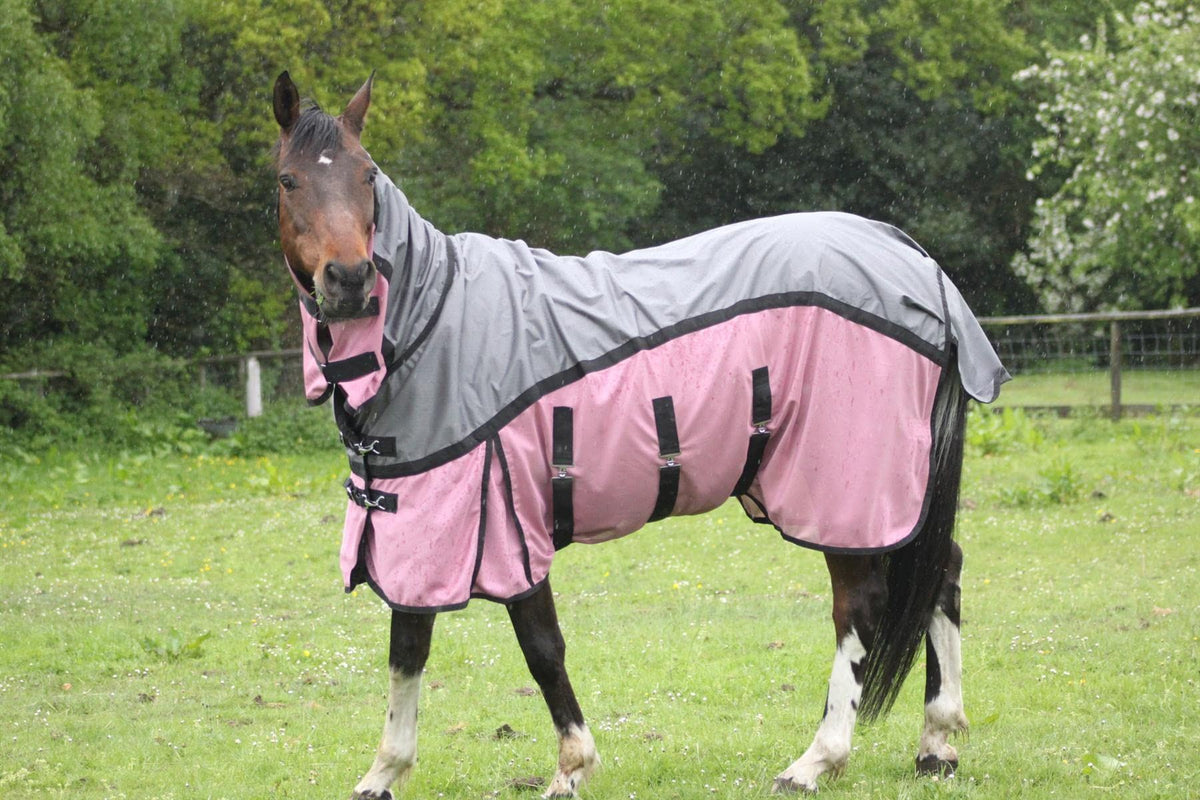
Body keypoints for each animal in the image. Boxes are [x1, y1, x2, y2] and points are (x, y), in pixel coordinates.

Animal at [271, 71, 1008, 799]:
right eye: (288, 180)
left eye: (368, 174)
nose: (349, 279)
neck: (434, 325)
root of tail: (913, 258)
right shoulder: (418, 526)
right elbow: (408, 649)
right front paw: (383, 774)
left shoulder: (502, 523)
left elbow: (540, 647)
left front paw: (571, 767)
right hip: (894, 491)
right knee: (943, 570)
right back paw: (936, 742)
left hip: (843, 489)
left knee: (860, 607)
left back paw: (816, 760)